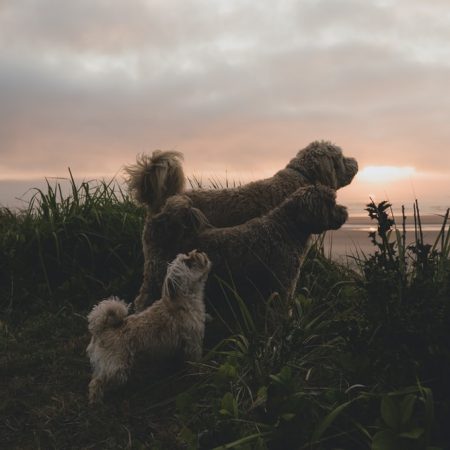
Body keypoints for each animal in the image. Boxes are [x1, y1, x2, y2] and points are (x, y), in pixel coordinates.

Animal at [134, 184, 348, 312]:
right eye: (330, 203)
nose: (345, 212)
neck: (286, 228)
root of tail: (160, 224)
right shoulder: (283, 284)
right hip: (157, 277)